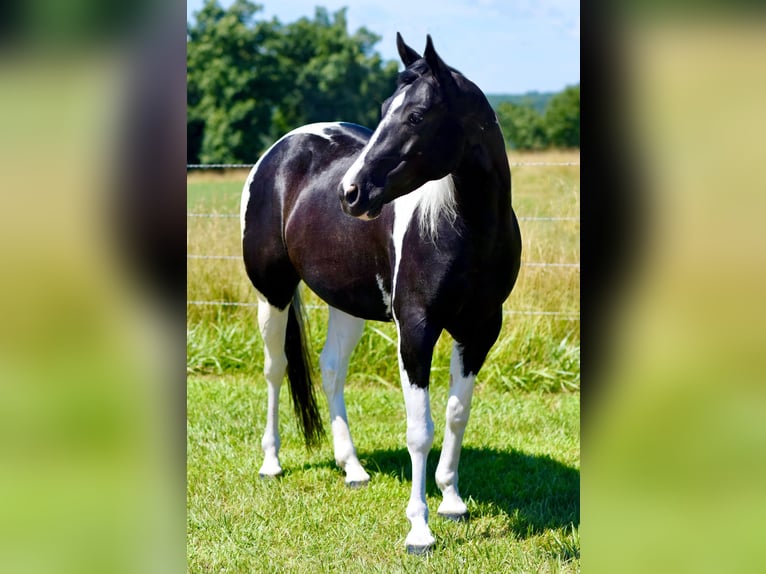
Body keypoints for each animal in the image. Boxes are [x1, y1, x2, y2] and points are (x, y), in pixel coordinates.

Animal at [241, 33, 521, 554]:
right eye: (386, 108)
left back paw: (352, 468)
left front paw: (453, 501)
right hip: (273, 292)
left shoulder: (479, 330)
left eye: (417, 116)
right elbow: (419, 430)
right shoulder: (416, 331)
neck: (464, 228)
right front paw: (419, 529)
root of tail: (284, 148)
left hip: (347, 302)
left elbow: (457, 415)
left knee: (331, 369)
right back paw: (272, 463)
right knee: (275, 368)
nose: (350, 193)